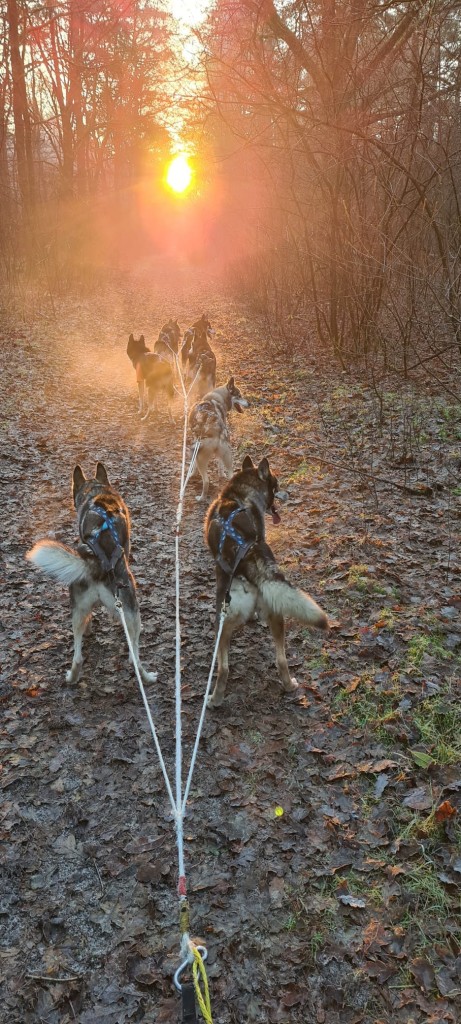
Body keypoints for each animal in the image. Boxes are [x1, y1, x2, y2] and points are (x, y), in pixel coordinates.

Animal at [26, 464, 155, 688]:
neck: (96, 491)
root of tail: (97, 564)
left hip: (77, 610)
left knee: (77, 656)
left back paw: (72, 676)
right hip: (133, 612)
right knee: (135, 658)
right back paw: (148, 678)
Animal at [204, 458, 327, 708]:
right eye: (277, 484)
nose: (288, 493)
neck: (239, 493)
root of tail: (249, 556)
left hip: (224, 620)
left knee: (224, 668)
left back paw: (215, 698)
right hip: (270, 615)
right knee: (279, 660)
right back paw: (289, 686)